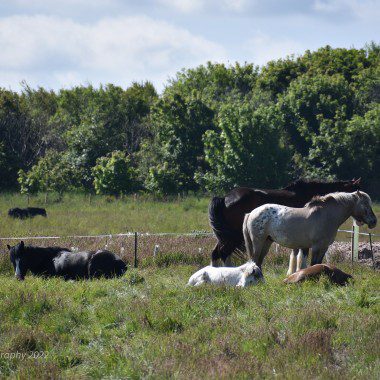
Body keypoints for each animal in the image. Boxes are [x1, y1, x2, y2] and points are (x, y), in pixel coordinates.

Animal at [243, 191, 378, 272]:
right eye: (365, 204)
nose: (374, 221)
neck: (327, 215)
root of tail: (251, 213)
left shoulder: (324, 247)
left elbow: (319, 263)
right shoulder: (316, 247)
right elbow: (313, 264)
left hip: (267, 242)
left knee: (259, 261)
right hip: (258, 242)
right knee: (255, 260)